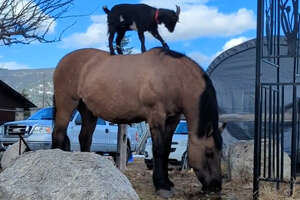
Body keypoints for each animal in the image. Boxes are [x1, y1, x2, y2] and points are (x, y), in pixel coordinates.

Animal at [51, 47, 225, 198]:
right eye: (209, 152)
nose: (216, 186)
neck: (172, 76)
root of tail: (63, 60)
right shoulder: (156, 118)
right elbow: (159, 150)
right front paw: (162, 186)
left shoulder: (172, 120)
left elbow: (167, 150)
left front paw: (168, 183)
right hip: (66, 105)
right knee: (58, 134)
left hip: (88, 111)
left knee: (85, 138)